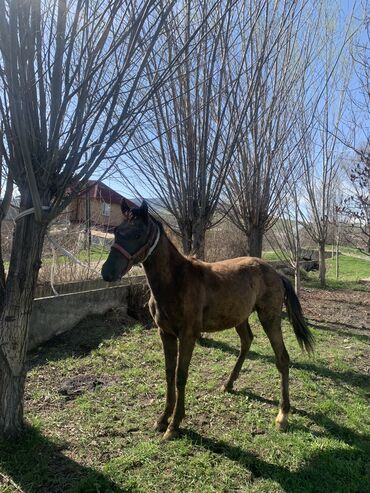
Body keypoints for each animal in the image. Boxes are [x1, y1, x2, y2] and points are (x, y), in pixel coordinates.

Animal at [102, 198, 314, 440]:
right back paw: (229, 384)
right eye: (116, 231)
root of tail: (276, 273)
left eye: (137, 234)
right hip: (240, 317)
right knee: (247, 341)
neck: (176, 281)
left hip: (269, 317)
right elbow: (168, 374)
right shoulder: (165, 333)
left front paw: (174, 425)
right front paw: (162, 419)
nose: (107, 272)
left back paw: (282, 415)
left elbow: (180, 376)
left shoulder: (188, 336)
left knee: (282, 358)